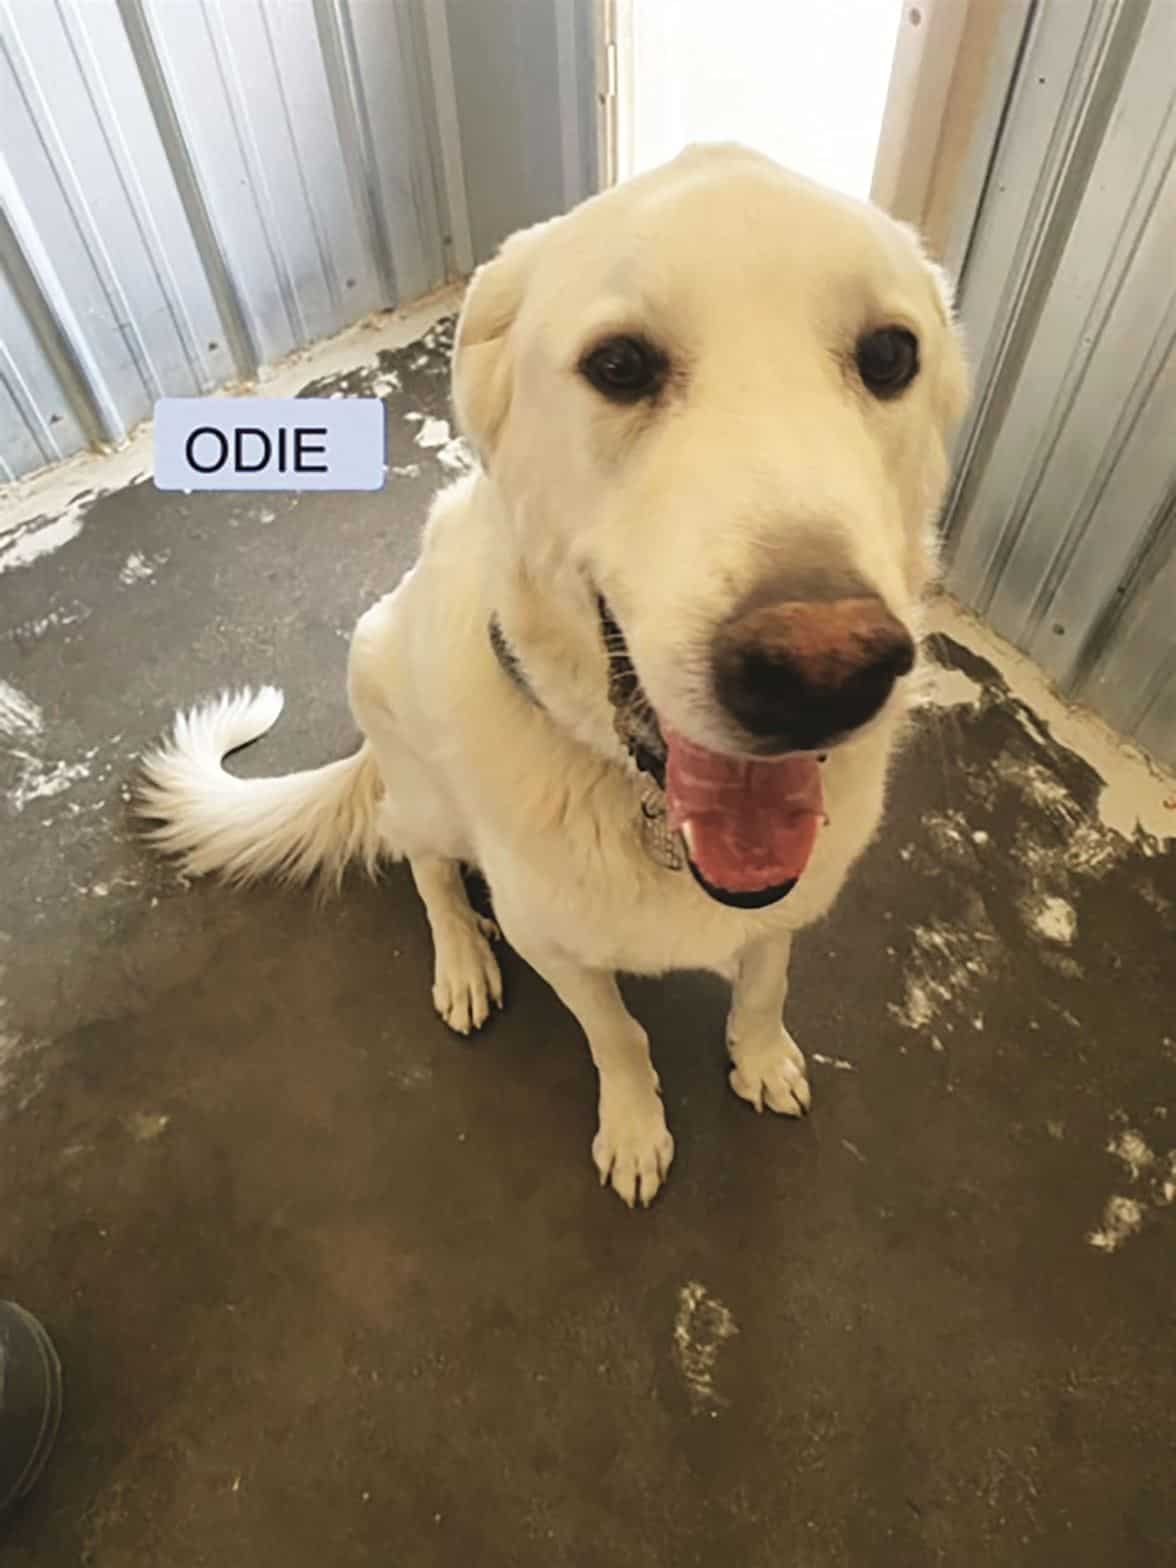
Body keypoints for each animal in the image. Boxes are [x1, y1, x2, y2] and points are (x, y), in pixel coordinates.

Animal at [140, 144, 965, 1197]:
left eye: (890, 356)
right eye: (618, 365)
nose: (824, 673)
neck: (644, 804)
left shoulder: (790, 906)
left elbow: (764, 982)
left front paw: (761, 1056)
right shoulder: (556, 947)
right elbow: (616, 1035)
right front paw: (636, 1127)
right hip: (407, 750)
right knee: (424, 867)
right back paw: (462, 960)